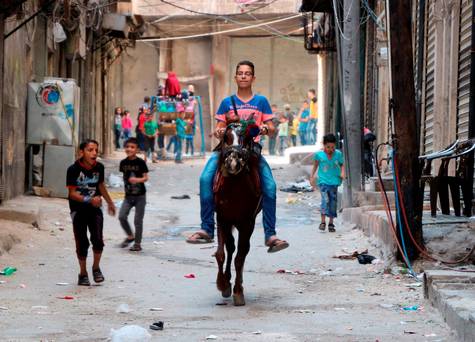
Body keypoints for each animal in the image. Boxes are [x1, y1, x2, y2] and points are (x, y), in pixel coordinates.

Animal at [214, 119, 262, 306]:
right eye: (225, 138)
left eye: (247, 138)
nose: (233, 163)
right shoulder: (222, 218)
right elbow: (221, 253)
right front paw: (222, 284)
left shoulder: (247, 222)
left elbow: (240, 257)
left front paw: (238, 291)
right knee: (231, 247)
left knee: (242, 251)